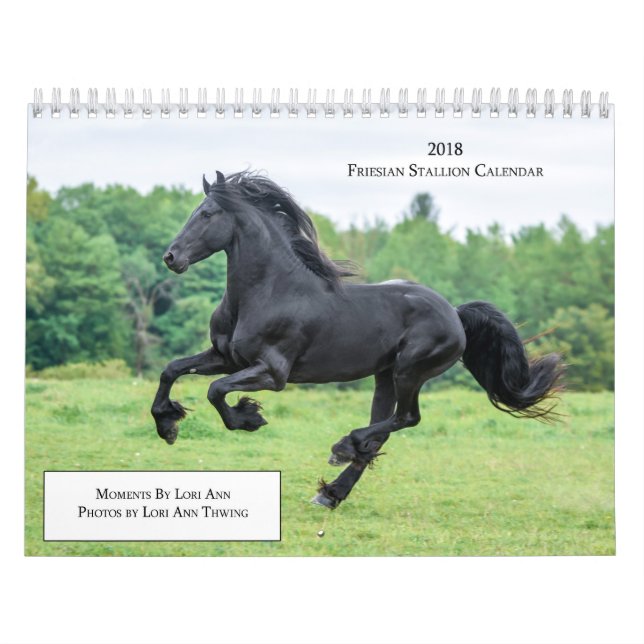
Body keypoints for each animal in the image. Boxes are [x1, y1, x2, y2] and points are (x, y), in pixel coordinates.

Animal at [151, 171, 564, 509]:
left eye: (206, 214)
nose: (171, 257)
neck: (270, 291)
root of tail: (456, 315)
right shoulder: (225, 357)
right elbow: (171, 370)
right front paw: (167, 426)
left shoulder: (272, 372)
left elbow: (216, 391)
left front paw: (249, 417)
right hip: (385, 377)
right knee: (383, 431)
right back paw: (331, 492)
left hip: (409, 372)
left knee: (406, 418)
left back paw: (342, 449)